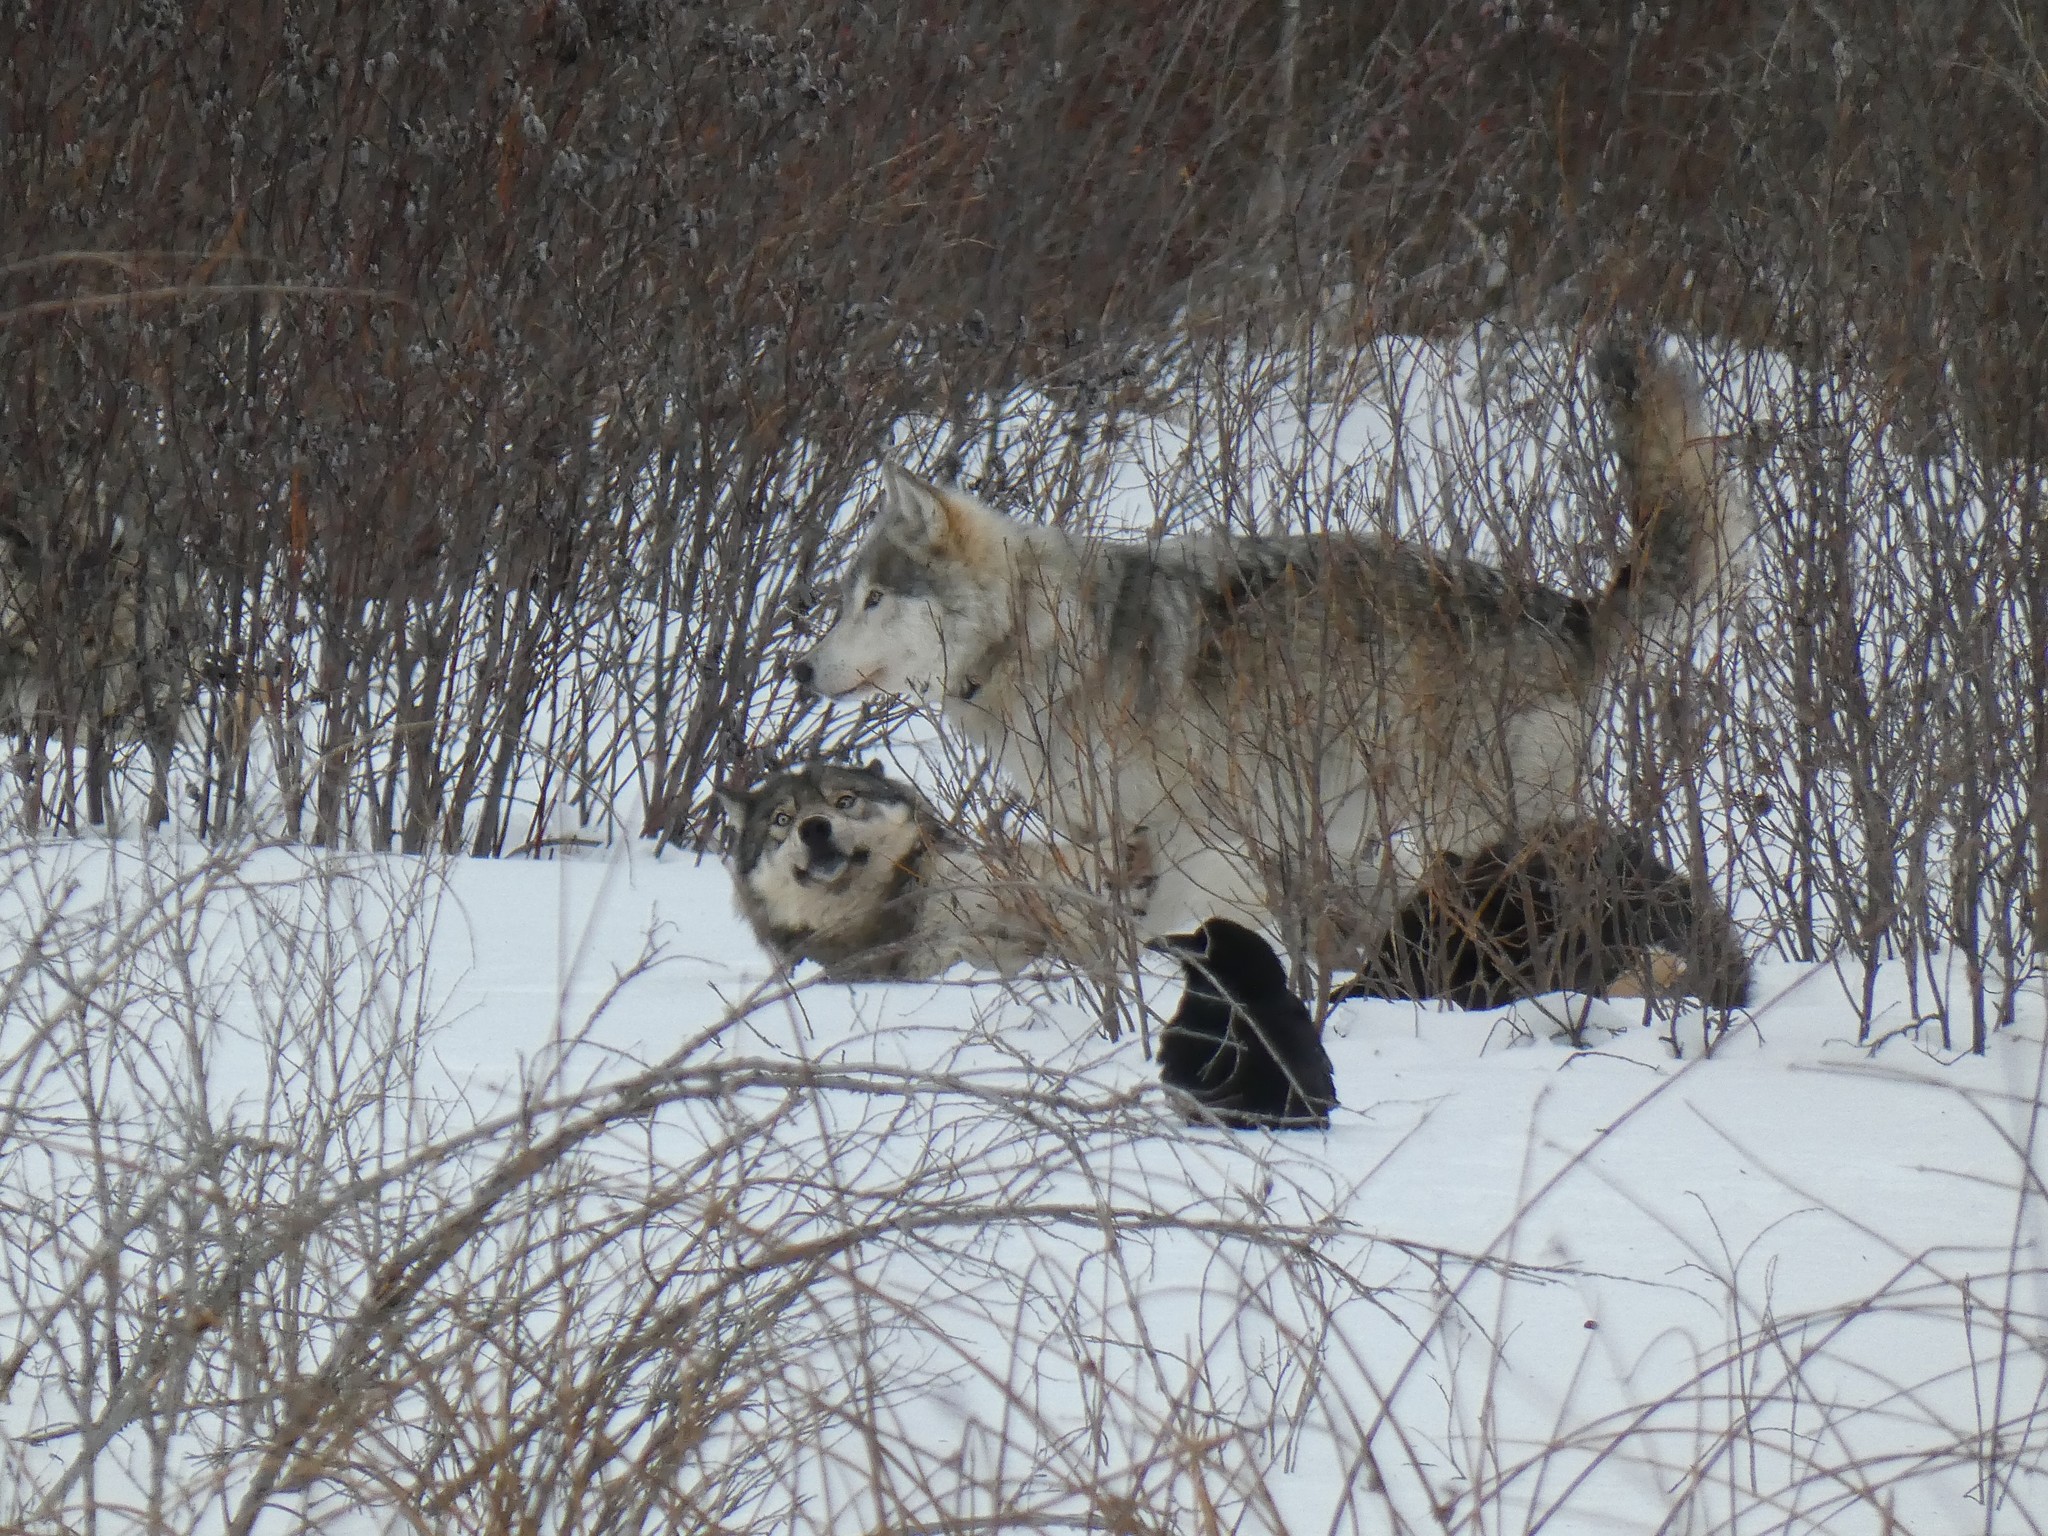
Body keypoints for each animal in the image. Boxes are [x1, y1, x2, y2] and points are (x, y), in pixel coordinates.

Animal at [790, 335, 1753, 950]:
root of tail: (1570, 610)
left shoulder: (1206, 843)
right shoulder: (1129, 843)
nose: (798, 668)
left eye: (873, 599)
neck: (1047, 641)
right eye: (842, 599)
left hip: (1482, 821)